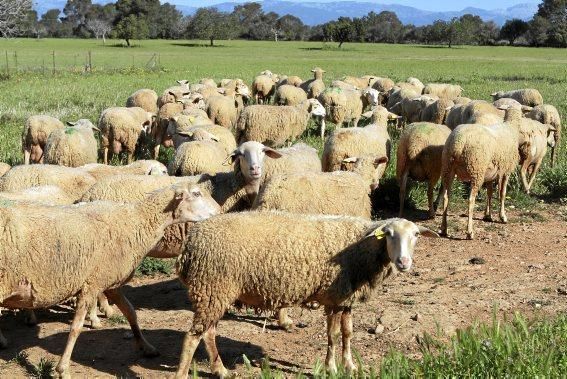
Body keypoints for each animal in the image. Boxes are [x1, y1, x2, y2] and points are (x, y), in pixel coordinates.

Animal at [0, 183, 217, 378]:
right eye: (196, 193)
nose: (217, 213)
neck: (135, 222)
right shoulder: (91, 284)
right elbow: (75, 328)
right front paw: (63, 369)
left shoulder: (110, 281)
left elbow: (131, 313)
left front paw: (146, 347)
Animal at [175, 212, 438, 378]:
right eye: (390, 234)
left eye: (416, 235)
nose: (404, 262)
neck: (363, 248)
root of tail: (190, 242)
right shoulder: (334, 296)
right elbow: (333, 335)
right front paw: (331, 368)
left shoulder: (346, 298)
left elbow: (347, 334)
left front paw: (350, 366)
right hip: (211, 288)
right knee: (193, 336)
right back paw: (182, 373)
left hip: (214, 293)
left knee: (208, 334)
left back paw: (220, 371)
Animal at [440, 107, 524, 239]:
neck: (510, 128)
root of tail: (459, 142)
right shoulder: (506, 170)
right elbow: (502, 194)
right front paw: (502, 216)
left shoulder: (490, 174)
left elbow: (489, 193)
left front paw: (487, 215)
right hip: (476, 170)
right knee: (471, 200)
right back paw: (469, 232)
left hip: (448, 168)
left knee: (446, 197)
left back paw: (444, 229)